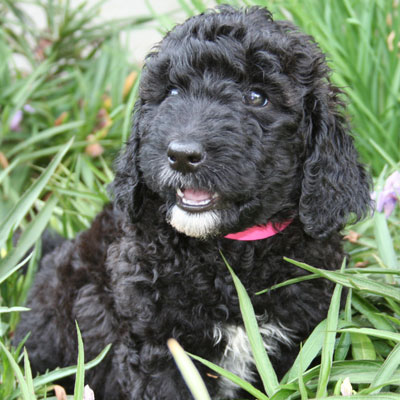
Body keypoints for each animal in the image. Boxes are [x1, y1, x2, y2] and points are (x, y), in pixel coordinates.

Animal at [15, 6, 372, 400]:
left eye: (257, 97)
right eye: (171, 92)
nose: (182, 155)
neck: (230, 259)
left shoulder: (302, 341)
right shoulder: (159, 349)